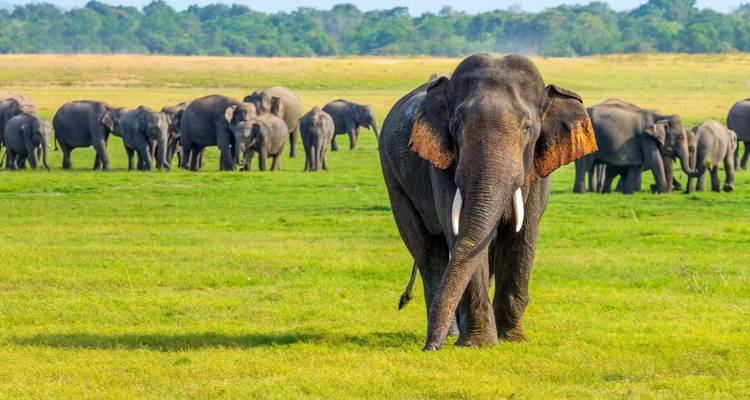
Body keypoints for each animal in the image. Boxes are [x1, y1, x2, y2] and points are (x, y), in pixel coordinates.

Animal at [379, 54, 597, 350]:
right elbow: (460, 235)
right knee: (427, 250)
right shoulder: (442, 165)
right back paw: (450, 334)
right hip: (394, 180)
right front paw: (478, 344)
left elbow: (522, 236)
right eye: (456, 126)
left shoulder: (536, 172)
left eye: (528, 128)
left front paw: (512, 339)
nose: (428, 348)